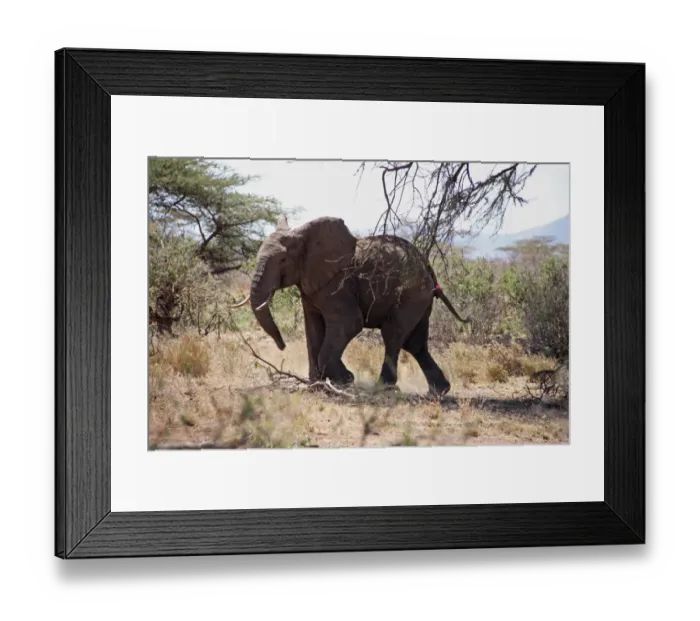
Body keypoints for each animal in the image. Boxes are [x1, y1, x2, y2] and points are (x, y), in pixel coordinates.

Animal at [234, 215, 472, 396]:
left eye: (283, 260)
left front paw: (343, 380)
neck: (305, 237)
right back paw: (438, 391)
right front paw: (317, 385)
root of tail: (428, 267)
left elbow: (349, 323)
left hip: (411, 294)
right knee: (415, 343)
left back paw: (383, 388)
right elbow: (313, 330)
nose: (282, 347)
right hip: (420, 298)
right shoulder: (311, 285)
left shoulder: (337, 283)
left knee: (393, 335)